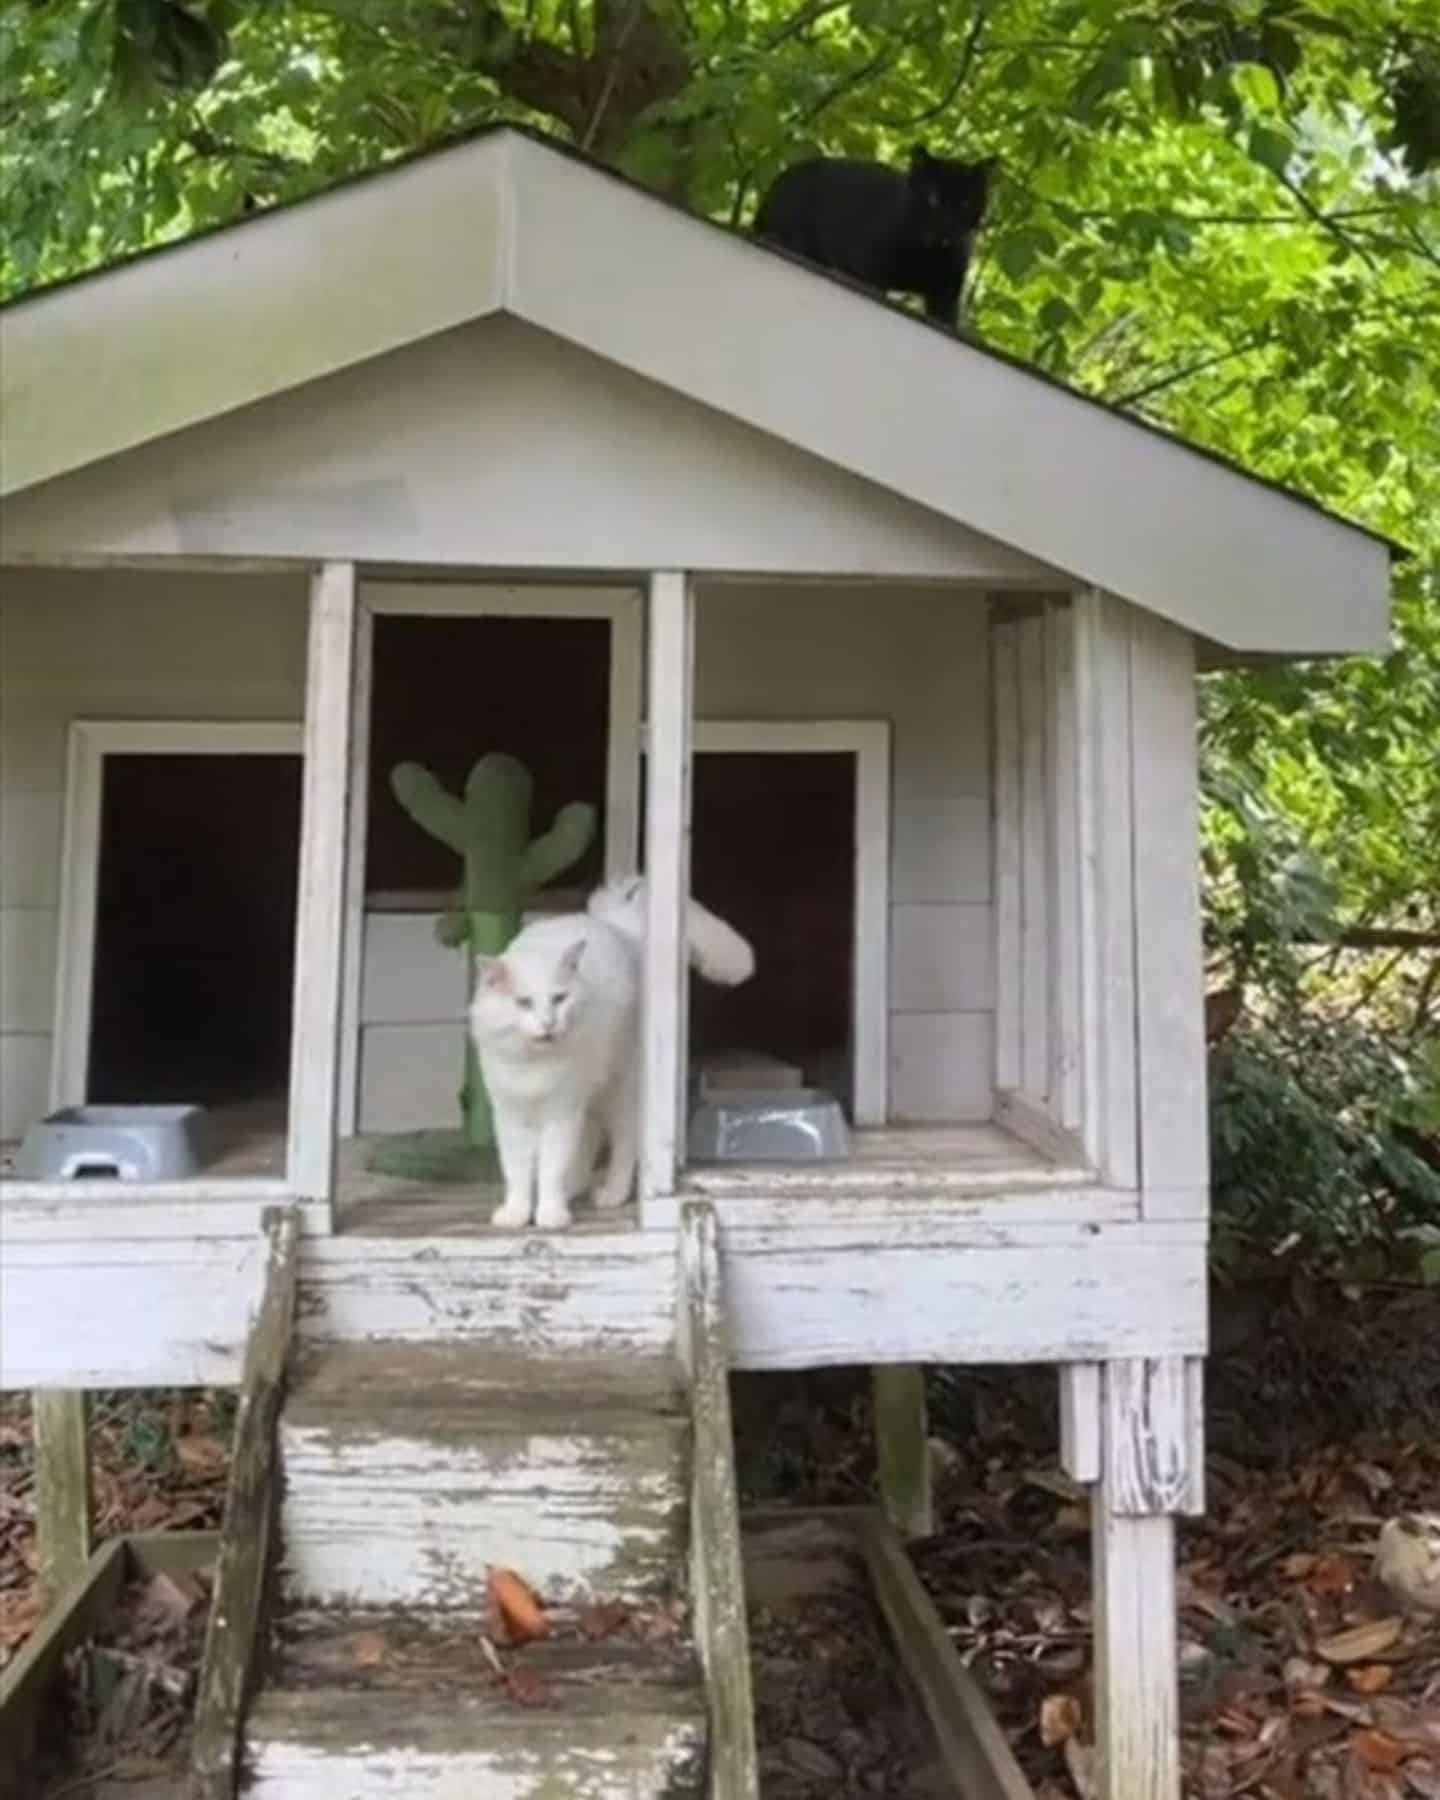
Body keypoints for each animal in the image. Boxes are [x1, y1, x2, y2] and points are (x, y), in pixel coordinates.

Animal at [475, 878, 763, 1231]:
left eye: (559, 999)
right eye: (524, 1003)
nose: (549, 1024)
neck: (534, 1063)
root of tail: (622, 929)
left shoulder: (561, 1111)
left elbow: (552, 1165)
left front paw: (550, 1214)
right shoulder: (510, 1114)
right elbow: (517, 1170)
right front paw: (516, 1213)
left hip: (620, 1091)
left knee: (624, 1145)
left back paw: (612, 1193)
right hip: (594, 1098)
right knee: (590, 1141)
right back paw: (575, 1188)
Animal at [752, 147, 993, 324]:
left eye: (965, 203)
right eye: (932, 197)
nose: (946, 223)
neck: (928, 253)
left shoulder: (946, 295)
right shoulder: (873, 275)